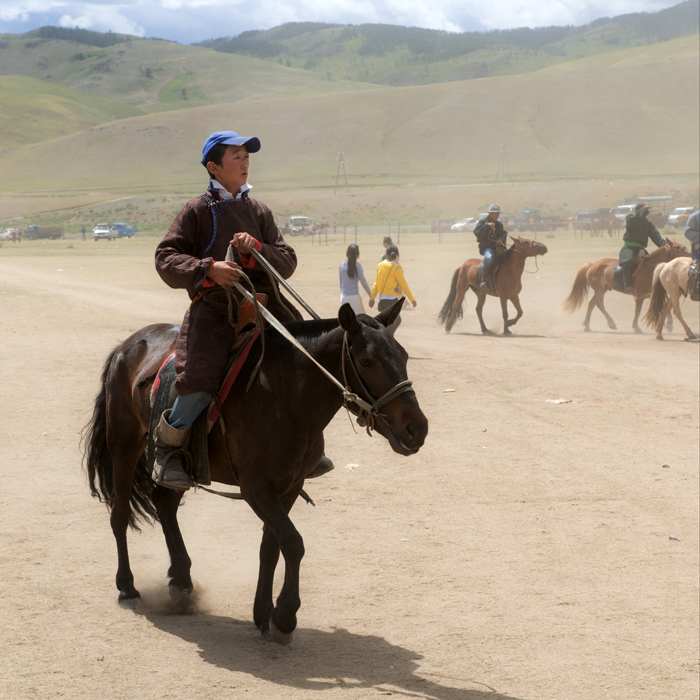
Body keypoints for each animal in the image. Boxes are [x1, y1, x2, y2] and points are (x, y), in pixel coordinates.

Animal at [85, 302, 430, 644]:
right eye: (367, 360)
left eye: (404, 356)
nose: (416, 428)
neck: (286, 395)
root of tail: (126, 346)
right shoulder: (256, 488)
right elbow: (293, 542)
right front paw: (285, 616)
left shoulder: (290, 486)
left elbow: (271, 547)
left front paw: (263, 613)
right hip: (124, 445)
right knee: (120, 513)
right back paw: (128, 588)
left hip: (185, 466)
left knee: (165, 504)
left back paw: (181, 581)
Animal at [560, 238, 692, 330]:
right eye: (678, 247)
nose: (690, 254)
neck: (650, 268)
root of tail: (592, 264)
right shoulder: (640, 296)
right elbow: (638, 311)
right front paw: (636, 327)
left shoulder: (651, 294)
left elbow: (664, 305)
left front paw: (669, 324)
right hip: (599, 290)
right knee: (599, 304)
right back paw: (611, 323)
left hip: (602, 290)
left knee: (592, 304)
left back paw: (587, 326)